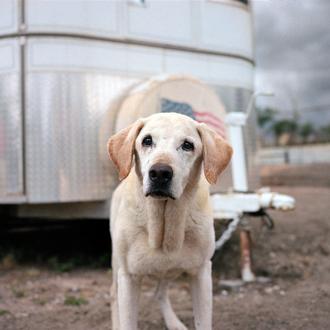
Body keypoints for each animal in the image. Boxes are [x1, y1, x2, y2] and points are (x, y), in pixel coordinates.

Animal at [107, 112, 231, 328]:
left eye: (188, 145)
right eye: (147, 140)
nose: (159, 173)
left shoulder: (201, 273)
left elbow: (203, 322)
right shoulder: (129, 277)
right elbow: (127, 321)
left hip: (168, 270)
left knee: (159, 292)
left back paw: (174, 323)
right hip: (117, 266)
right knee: (115, 297)